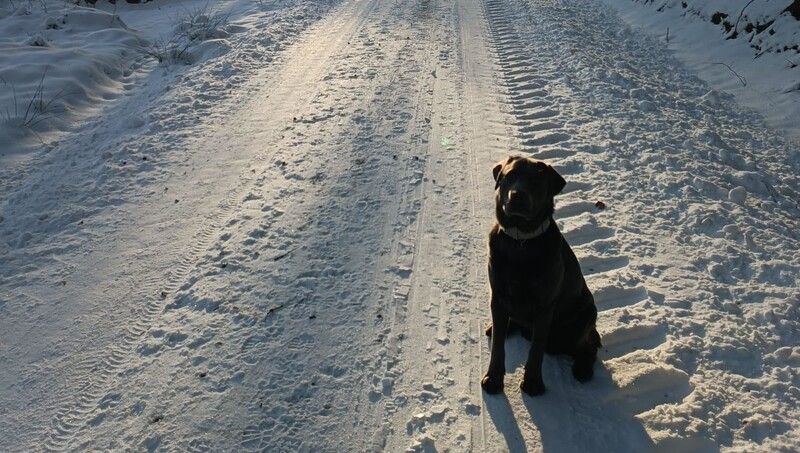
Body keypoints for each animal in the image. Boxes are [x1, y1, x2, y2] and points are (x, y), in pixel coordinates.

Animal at [482, 155, 600, 396]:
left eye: (536, 180)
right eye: (509, 175)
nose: (517, 195)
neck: (520, 242)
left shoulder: (545, 306)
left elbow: (536, 350)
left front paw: (533, 383)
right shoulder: (497, 296)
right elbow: (498, 346)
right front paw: (494, 378)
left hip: (588, 313)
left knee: (590, 345)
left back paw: (583, 368)